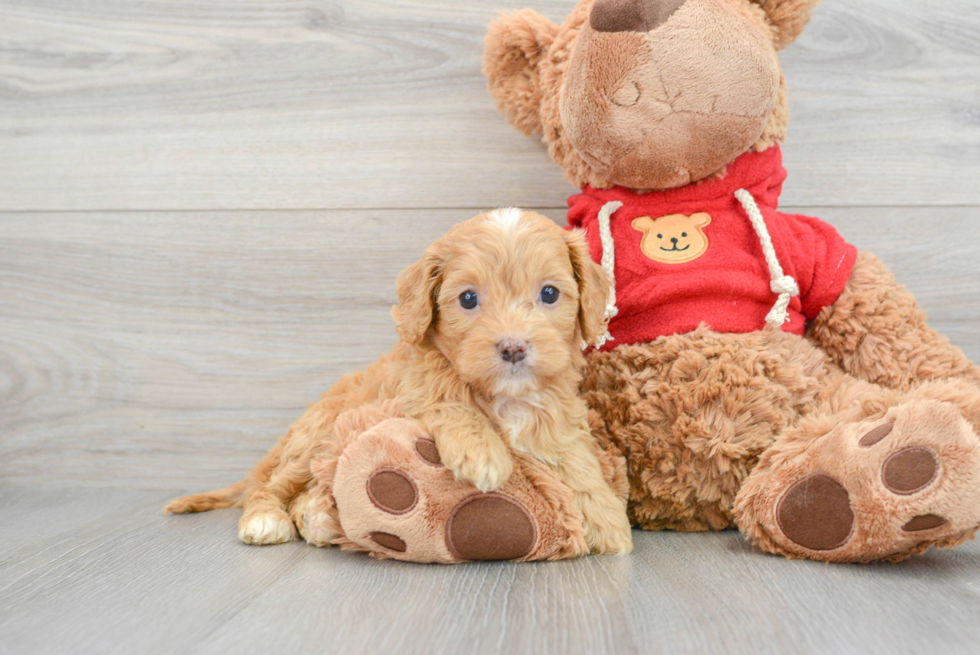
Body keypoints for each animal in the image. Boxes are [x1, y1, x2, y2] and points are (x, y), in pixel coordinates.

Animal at [165, 209, 632, 552]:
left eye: (549, 293)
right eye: (468, 299)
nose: (514, 347)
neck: (506, 397)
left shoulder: (558, 417)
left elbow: (578, 460)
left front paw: (607, 519)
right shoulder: (411, 388)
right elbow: (446, 400)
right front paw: (482, 453)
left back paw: (318, 518)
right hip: (315, 438)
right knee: (271, 487)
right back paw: (268, 519)